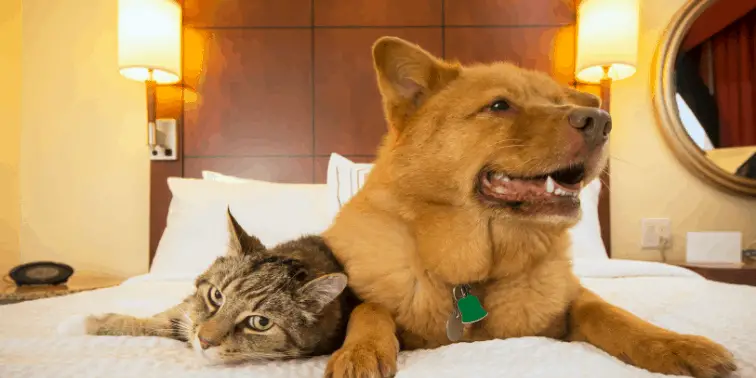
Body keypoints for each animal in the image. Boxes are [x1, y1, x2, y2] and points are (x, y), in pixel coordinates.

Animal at [81, 208, 356, 364]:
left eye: (260, 323)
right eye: (216, 296)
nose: (204, 341)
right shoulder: (190, 307)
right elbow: (170, 317)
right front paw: (105, 322)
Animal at [320, 36, 740, 378]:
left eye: (562, 103)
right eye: (499, 105)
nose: (602, 120)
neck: (473, 279)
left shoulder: (573, 302)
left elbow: (614, 314)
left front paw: (676, 344)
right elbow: (369, 309)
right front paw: (361, 350)